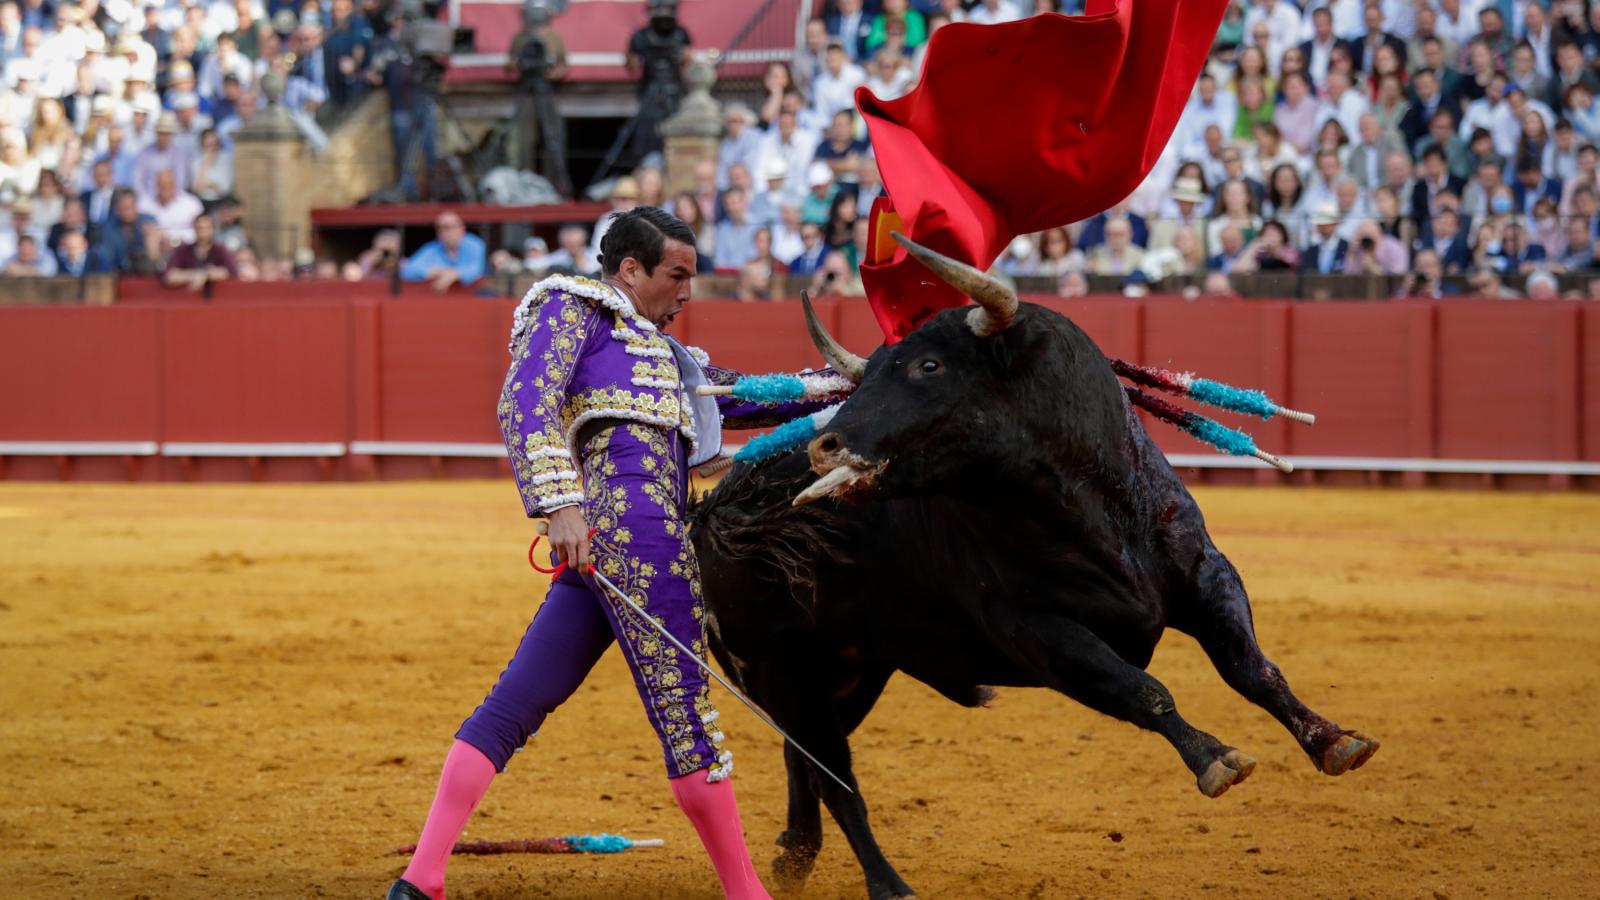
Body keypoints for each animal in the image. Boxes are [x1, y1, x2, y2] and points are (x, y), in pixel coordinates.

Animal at [694, 237, 1382, 896]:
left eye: (928, 365)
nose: (824, 447)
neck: (1089, 509)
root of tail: (712, 513)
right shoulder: (1038, 633)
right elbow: (1144, 690)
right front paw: (1216, 759)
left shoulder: (1206, 576)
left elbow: (1253, 669)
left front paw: (1335, 741)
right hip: (786, 668)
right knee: (835, 778)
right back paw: (887, 885)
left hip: (853, 669)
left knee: (804, 758)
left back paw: (795, 856)